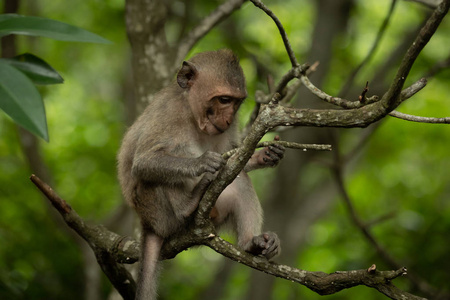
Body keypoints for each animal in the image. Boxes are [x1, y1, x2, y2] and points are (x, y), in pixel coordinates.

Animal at [118, 49, 284, 300]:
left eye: (236, 102)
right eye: (223, 100)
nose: (228, 119)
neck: (191, 113)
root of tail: (147, 224)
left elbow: (237, 162)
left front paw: (266, 154)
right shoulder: (169, 112)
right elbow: (143, 163)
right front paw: (203, 162)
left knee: (239, 181)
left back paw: (250, 243)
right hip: (156, 212)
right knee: (156, 173)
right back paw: (187, 206)